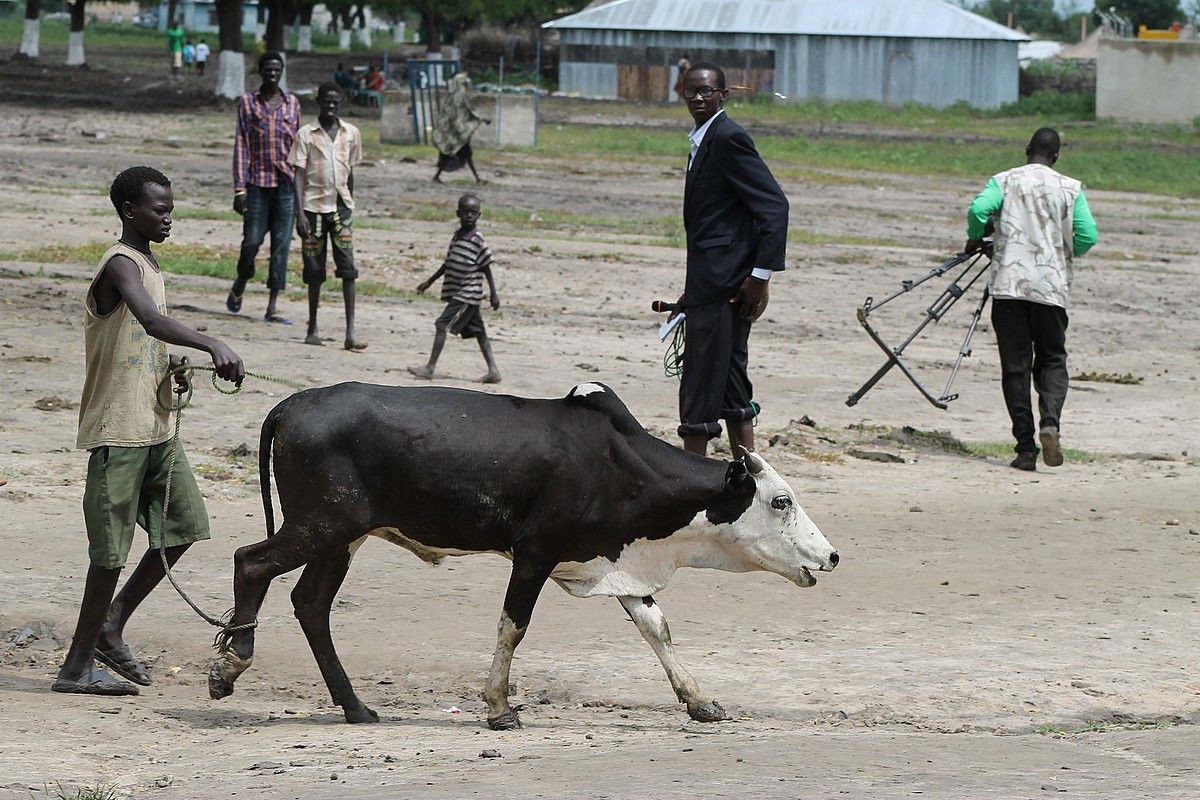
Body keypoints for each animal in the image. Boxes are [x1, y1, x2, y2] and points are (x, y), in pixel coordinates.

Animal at [206, 383, 840, 729]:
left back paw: (355, 706)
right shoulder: (534, 555)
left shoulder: (616, 562)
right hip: (320, 525)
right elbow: (513, 626)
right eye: (781, 501)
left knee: (310, 604)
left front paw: (700, 700)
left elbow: (656, 627)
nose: (831, 556)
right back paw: (230, 666)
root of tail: (292, 405)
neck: (621, 463)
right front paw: (498, 708)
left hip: (341, 536)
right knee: (250, 562)